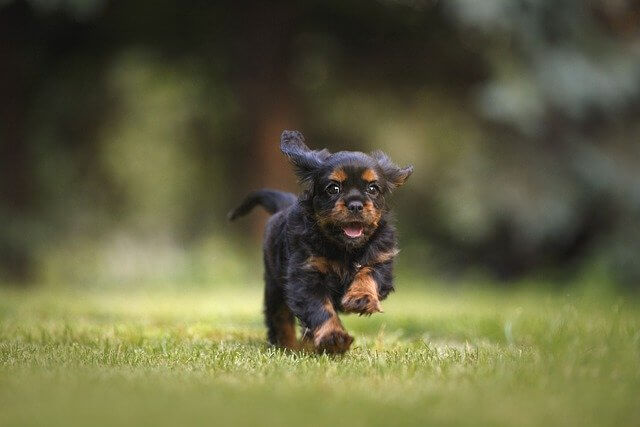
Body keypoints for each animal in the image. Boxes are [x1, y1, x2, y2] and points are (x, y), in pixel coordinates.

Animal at [228, 131, 412, 354]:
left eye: (373, 188)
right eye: (333, 188)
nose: (356, 205)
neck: (344, 249)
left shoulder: (381, 260)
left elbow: (368, 273)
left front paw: (361, 298)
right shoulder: (306, 276)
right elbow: (320, 308)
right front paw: (333, 337)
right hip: (275, 286)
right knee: (280, 318)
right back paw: (289, 346)